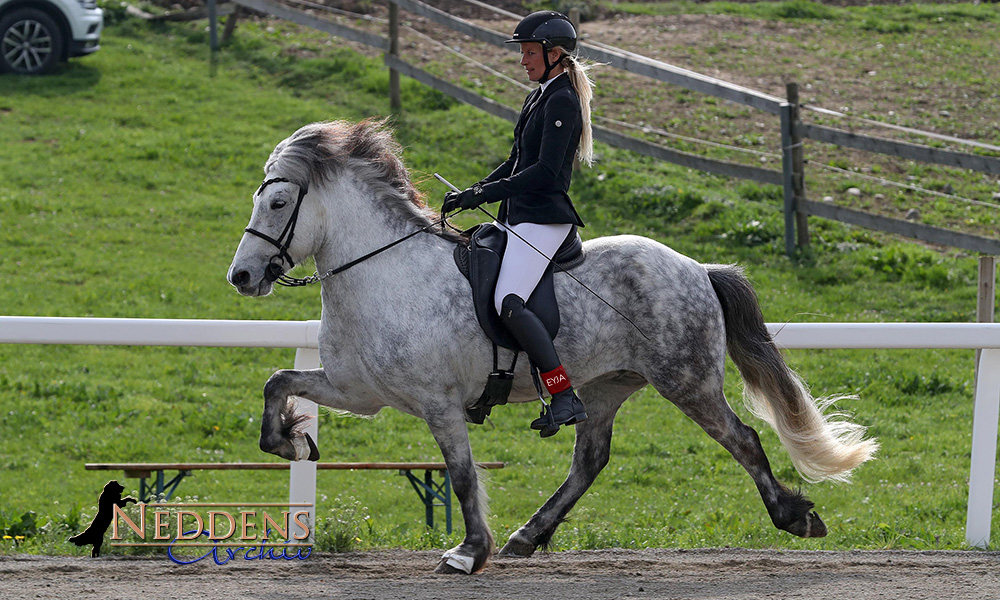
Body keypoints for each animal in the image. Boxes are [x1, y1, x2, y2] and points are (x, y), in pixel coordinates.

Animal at [227, 117, 876, 572]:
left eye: (278, 202)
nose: (243, 277)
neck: (383, 271)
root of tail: (696, 268)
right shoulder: (358, 391)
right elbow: (277, 384)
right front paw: (293, 442)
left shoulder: (438, 403)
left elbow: (462, 475)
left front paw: (469, 552)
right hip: (607, 386)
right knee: (589, 460)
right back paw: (527, 535)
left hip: (686, 381)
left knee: (742, 440)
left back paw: (795, 517)